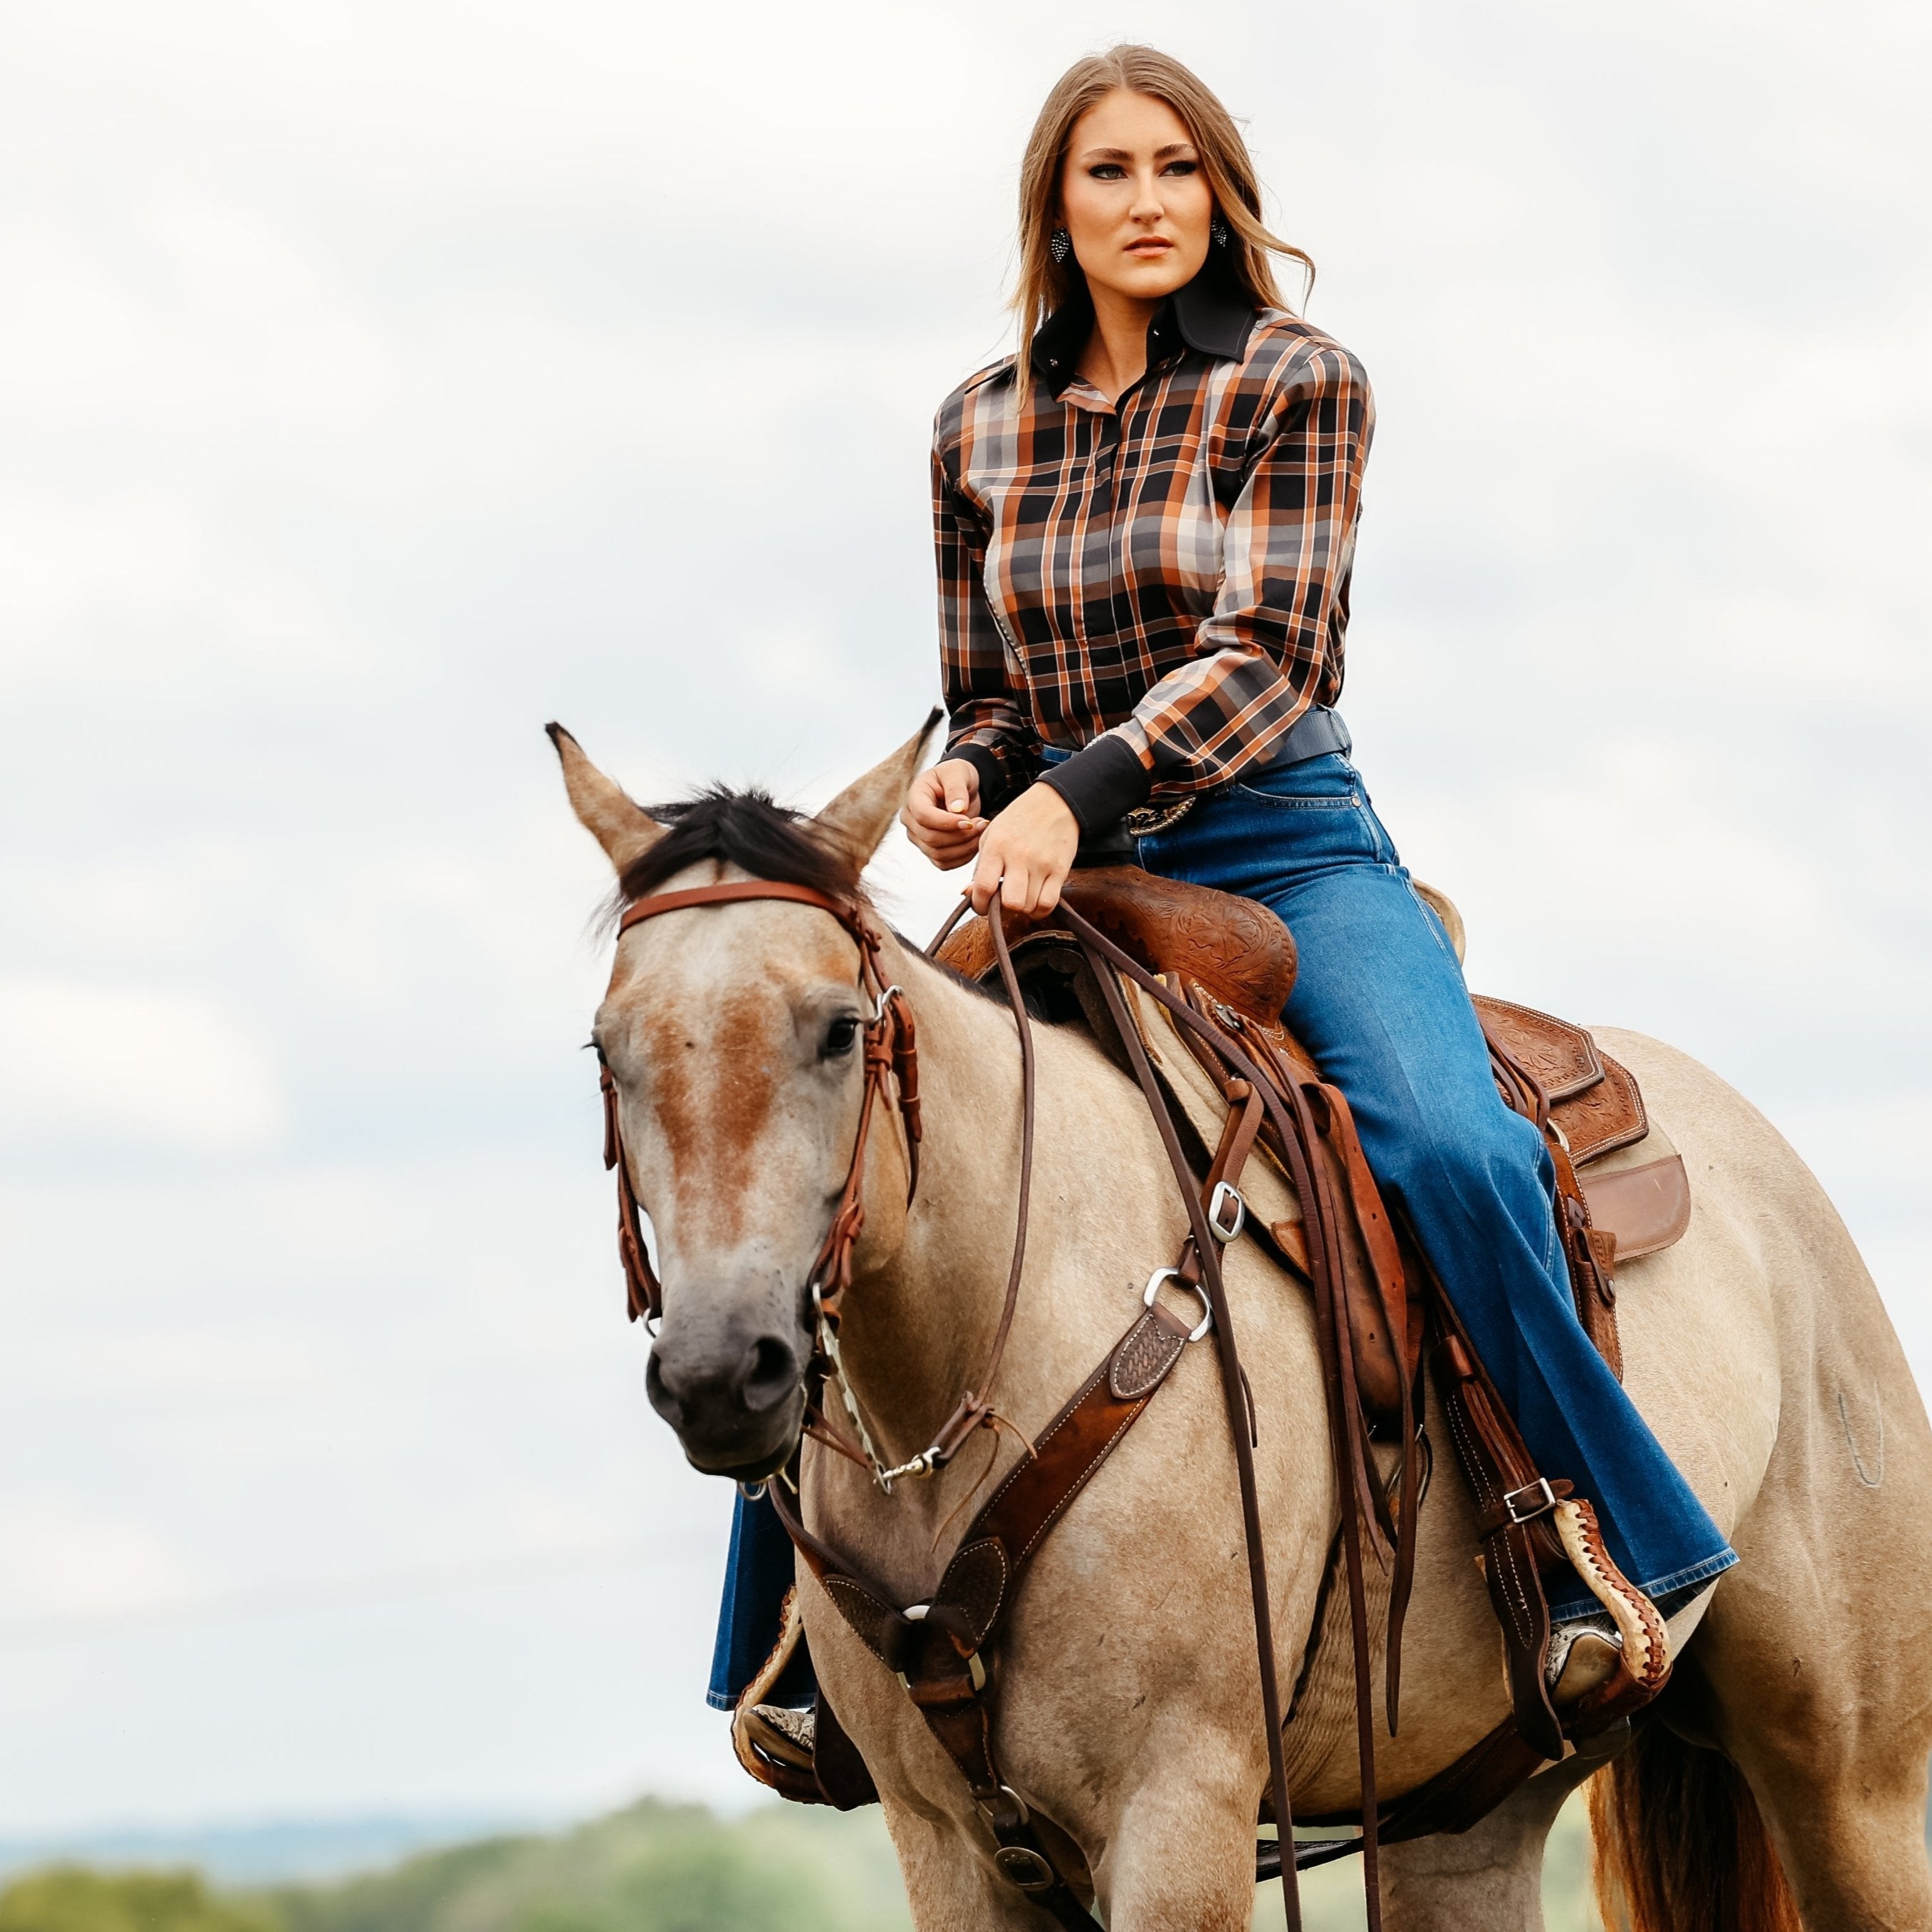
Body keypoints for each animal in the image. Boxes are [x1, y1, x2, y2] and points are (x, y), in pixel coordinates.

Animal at [553, 722, 1932, 1932]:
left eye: (840, 1029)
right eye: (607, 1050)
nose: (723, 1375)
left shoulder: (1180, 1809)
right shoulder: (947, 1845)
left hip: (1853, 1781)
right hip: (1467, 1809)